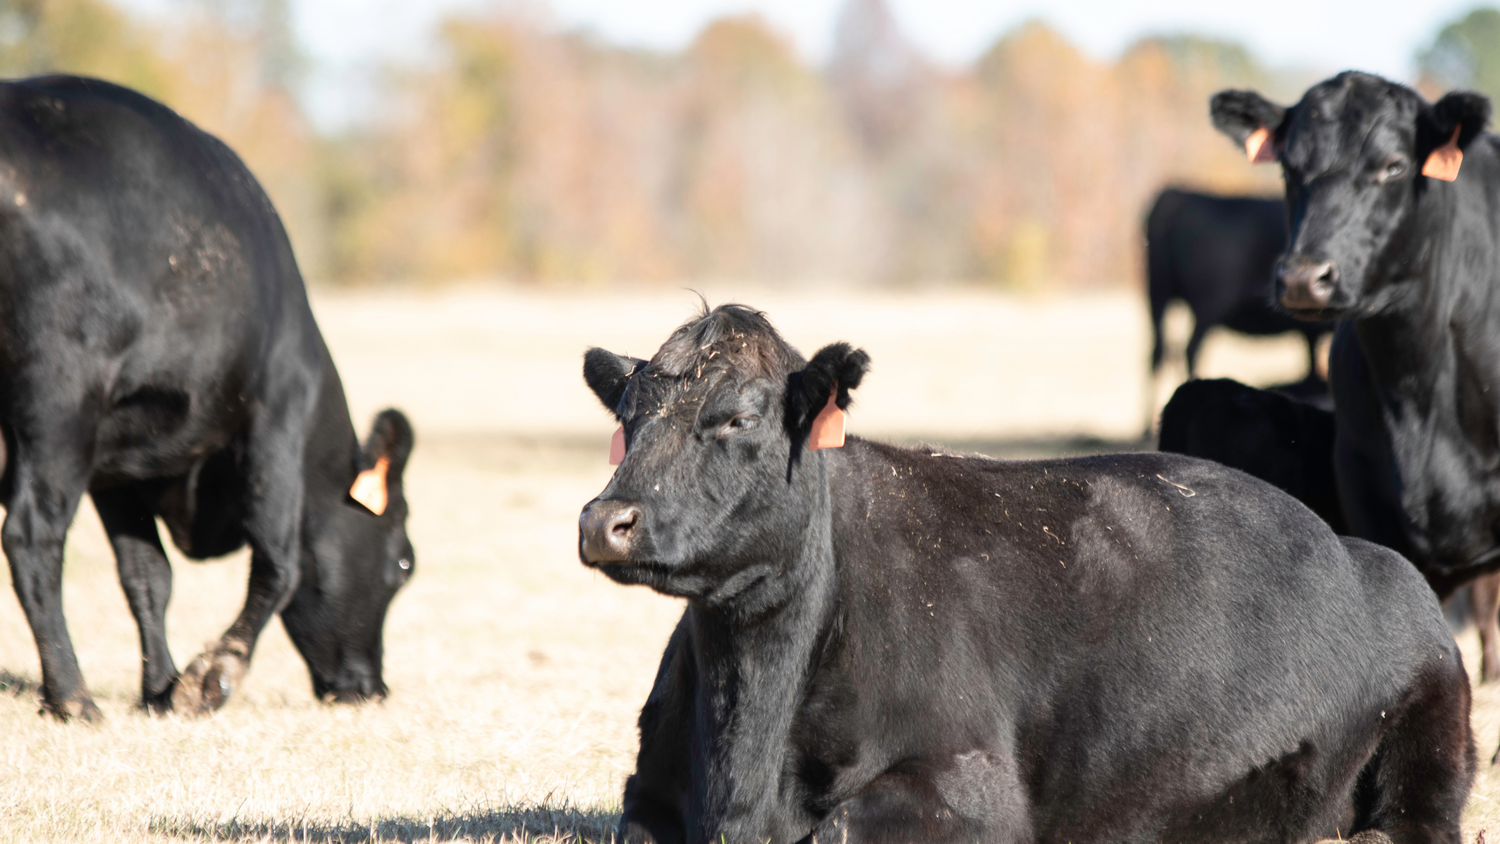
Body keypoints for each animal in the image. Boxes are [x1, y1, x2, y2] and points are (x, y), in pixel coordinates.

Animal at [0, 76, 416, 722]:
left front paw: (161, 688)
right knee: (31, 534)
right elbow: (280, 564)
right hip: (59, 400)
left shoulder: (119, 465)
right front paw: (211, 677)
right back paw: (73, 696)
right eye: (402, 563)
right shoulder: (276, 417)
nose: (372, 689)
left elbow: (148, 575)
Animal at [579, 303, 1473, 844]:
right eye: (626, 416)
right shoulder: (649, 792)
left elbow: (839, 827)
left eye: (738, 418)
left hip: (1435, 716)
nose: (603, 520)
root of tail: (1356, 550)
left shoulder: (975, 793)